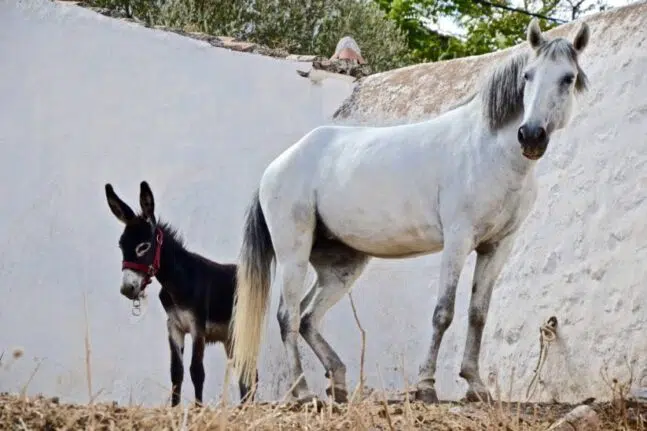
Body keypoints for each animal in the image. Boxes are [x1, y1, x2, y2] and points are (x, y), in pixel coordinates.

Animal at [105, 181, 260, 406]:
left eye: (144, 246)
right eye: (121, 245)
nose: (127, 289)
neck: (179, 281)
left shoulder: (198, 328)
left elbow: (197, 371)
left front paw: (198, 408)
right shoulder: (174, 327)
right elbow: (176, 372)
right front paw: (174, 408)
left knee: (251, 374)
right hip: (230, 337)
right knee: (245, 374)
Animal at [230, 19, 588, 404]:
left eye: (568, 78)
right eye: (527, 76)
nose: (531, 136)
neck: (488, 150)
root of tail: (277, 166)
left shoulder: (497, 246)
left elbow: (478, 313)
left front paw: (476, 386)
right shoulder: (458, 240)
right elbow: (443, 312)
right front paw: (425, 386)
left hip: (342, 267)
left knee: (310, 317)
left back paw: (338, 384)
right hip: (293, 254)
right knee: (289, 316)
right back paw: (302, 392)